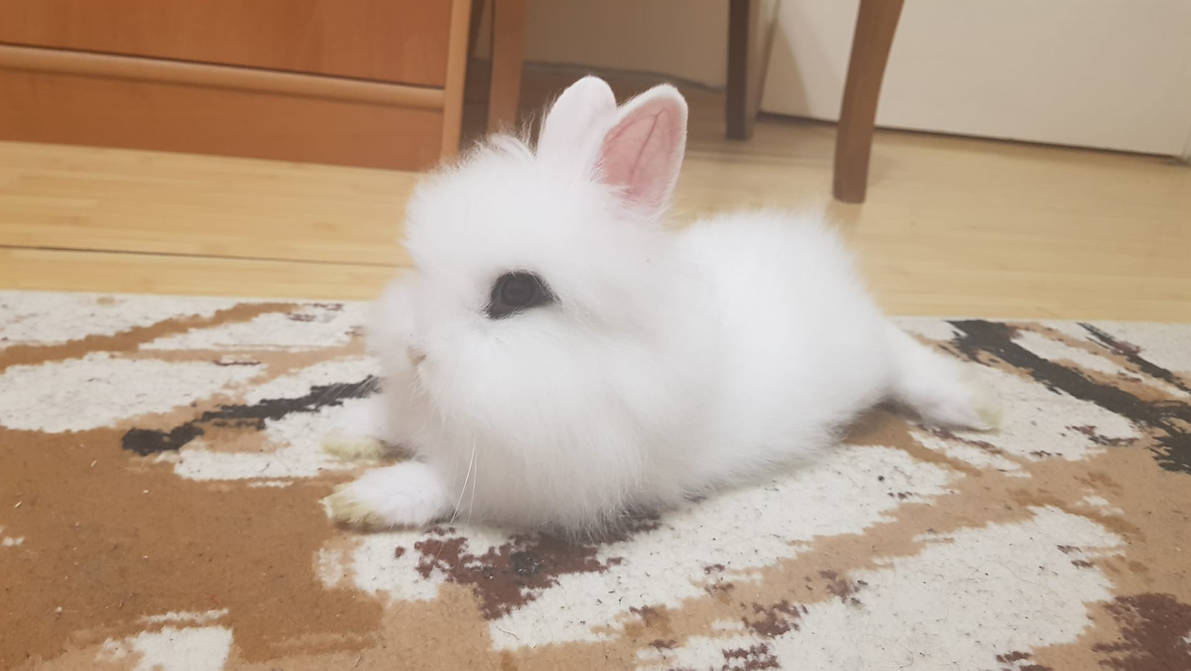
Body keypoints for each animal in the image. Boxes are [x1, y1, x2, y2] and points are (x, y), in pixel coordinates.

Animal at [321, 76, 998, 536]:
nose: (415, 350)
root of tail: (830, 267)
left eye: (516, 293)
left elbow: (445, 484)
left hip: (870, 357)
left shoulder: (537, 478)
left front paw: (360, 500)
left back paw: (967, 405)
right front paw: (346, 432)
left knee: (901, 353)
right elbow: (394, 420)